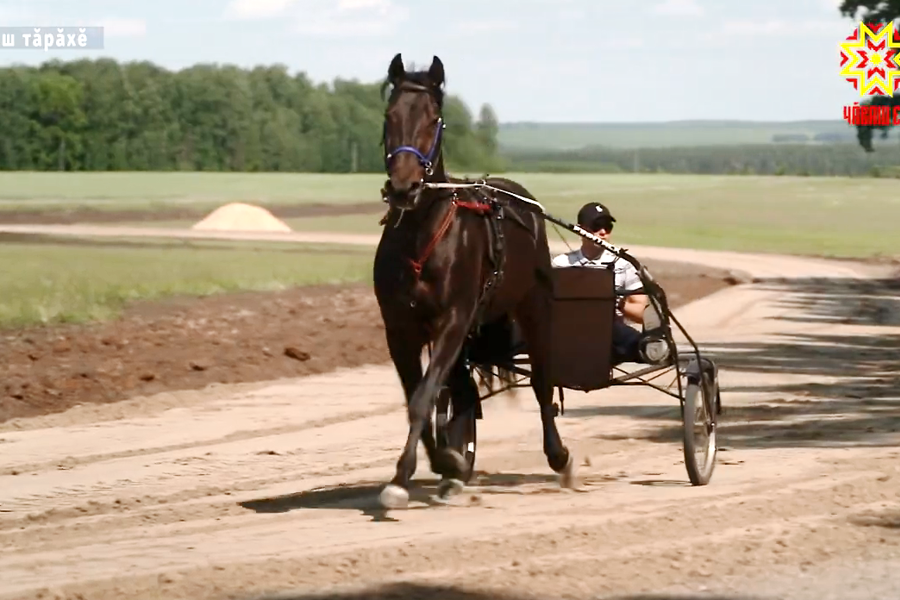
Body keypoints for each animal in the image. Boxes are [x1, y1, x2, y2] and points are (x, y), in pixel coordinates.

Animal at [372, 52, 576, 510]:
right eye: (390, 115)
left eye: (434, 117)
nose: (404, 187)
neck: (422, 237)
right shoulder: (401, 329)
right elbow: (418, 396)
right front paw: (444, 462)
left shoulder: (453, 318)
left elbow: (422, 398)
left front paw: (404, 476)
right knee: (463, 389)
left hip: (533, 305)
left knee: (541, 382)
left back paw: (559, 457)